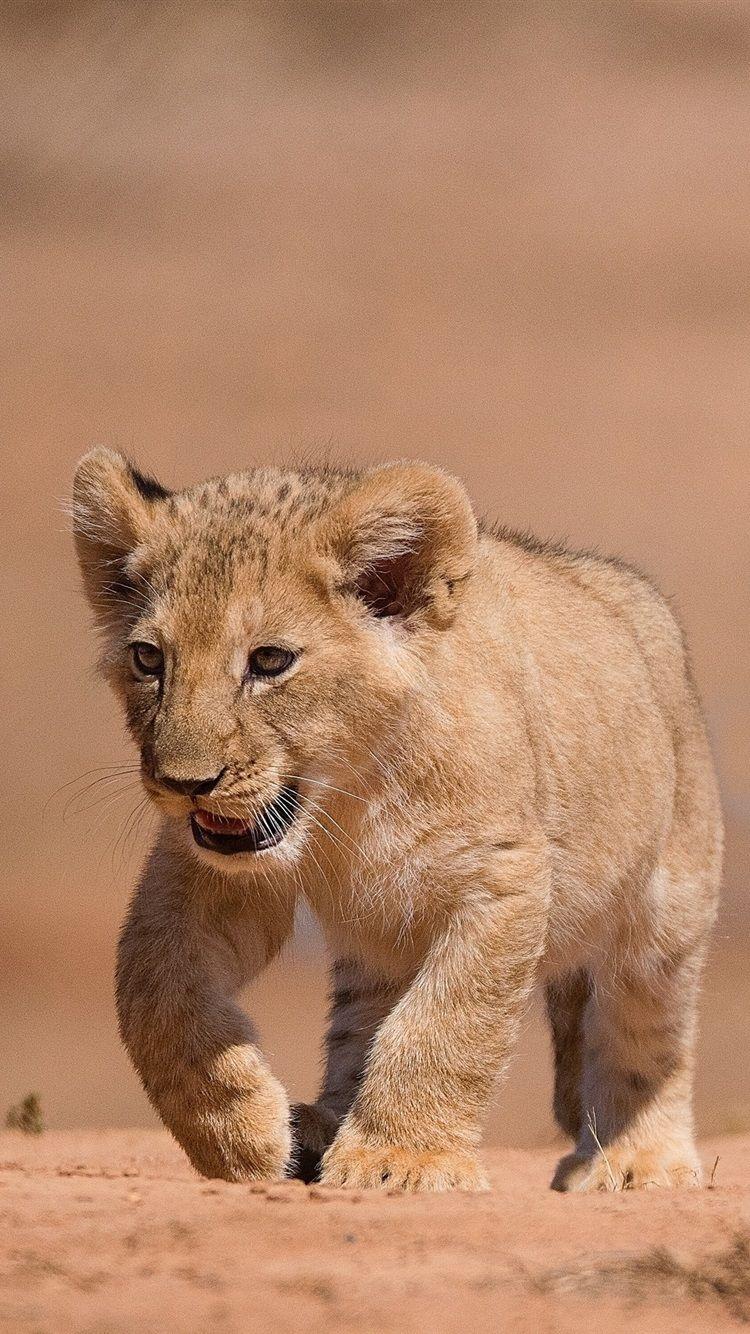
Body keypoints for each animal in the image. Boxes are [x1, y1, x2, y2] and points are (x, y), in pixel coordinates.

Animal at [72, 447, 722, 1192]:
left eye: (270, 661)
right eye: (149, 658)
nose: (186, 784)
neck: (348, 798)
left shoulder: (501, 876)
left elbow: (445, 1024)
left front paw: (400, 1159)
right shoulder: (210, 871)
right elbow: (153, 991)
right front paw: (240, 1135)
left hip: (667, 908)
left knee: (647, 1027)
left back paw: (639, 1158)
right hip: (379, 940)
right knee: (362, 1022)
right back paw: (317, 1127)